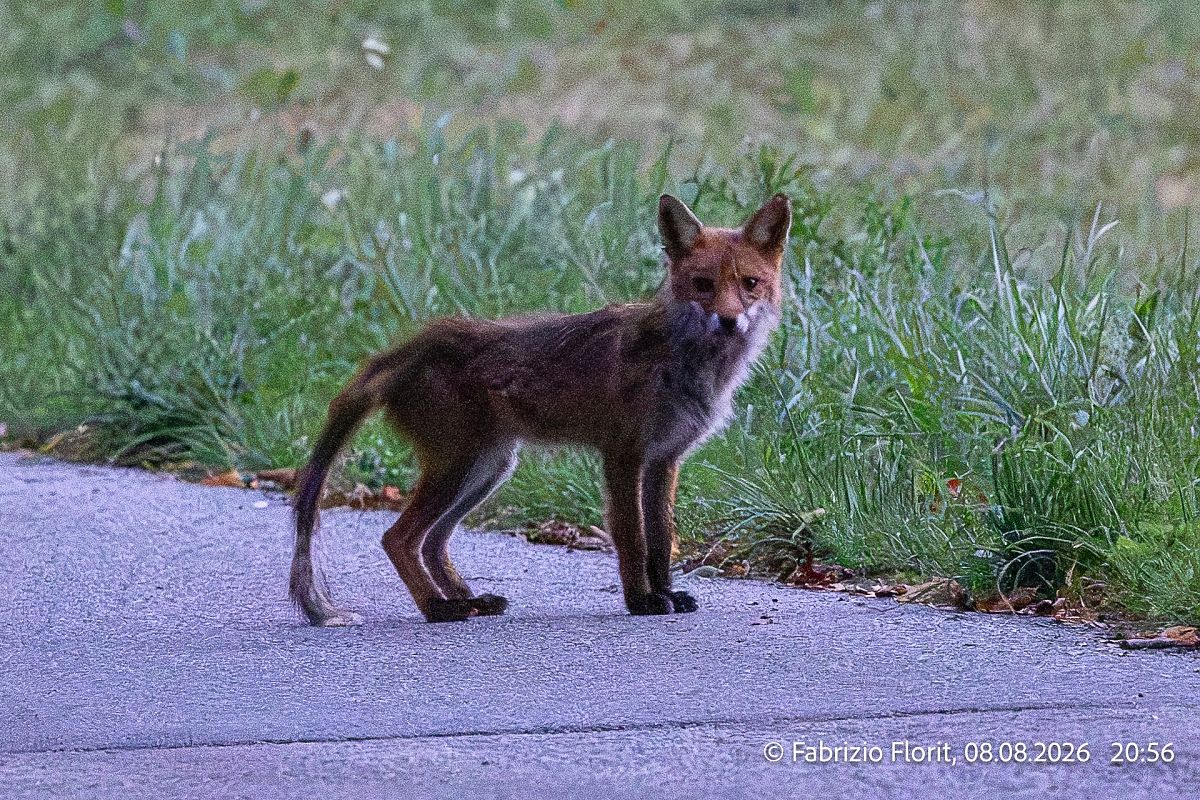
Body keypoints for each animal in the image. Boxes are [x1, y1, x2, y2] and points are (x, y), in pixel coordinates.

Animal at [290, 192, 792, 625]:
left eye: (749, 284)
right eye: (703, 285)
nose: (729, 321)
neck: (687, 364)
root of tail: (423, 342)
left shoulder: (664, 459)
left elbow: (660, 542)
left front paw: (665, 593)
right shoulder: (623, 453)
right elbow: (632, 539)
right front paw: (642, 602)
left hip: (488, 468)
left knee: (431, 543)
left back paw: (468, 600)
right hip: (460, 466)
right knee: (398, 538)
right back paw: (439, 608)